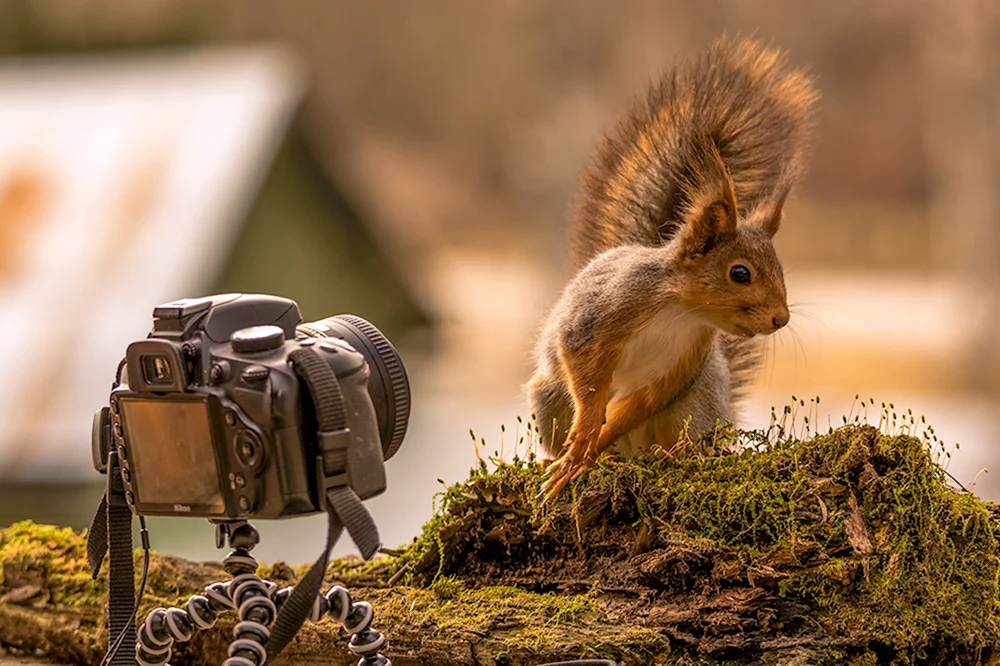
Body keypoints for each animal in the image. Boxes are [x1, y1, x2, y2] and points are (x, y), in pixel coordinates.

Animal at [528, 33, 816, 496]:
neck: (681, 310)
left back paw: (668, 454)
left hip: (695, 407)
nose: (781, 319)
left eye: (782, 270)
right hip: (549, 399)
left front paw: (587, 452)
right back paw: (563, 458)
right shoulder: (602, 316)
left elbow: (639, 402)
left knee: (674, 439)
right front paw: (579, 451)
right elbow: (586, 378)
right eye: (740, 273)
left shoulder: (678, 367)